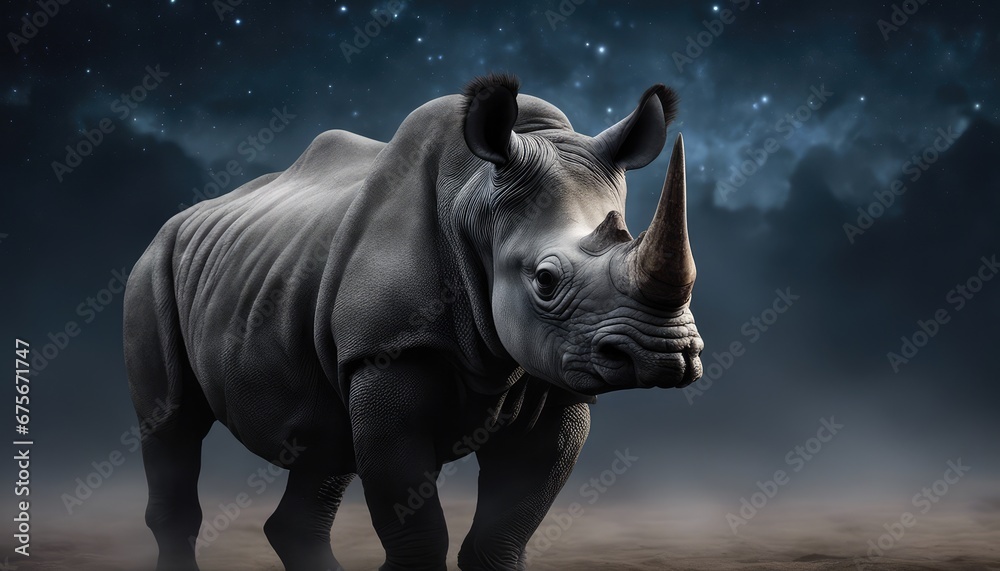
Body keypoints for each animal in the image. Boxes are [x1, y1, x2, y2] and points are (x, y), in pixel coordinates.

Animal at [124, 73, 704, 571]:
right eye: (544, 280)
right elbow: (420, 531)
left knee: (322, 442)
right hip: (152, 269)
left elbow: (502, 535)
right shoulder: (387, 351)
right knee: (172, 422)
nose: (666, 354)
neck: (475, 200)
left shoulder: (557, 370)